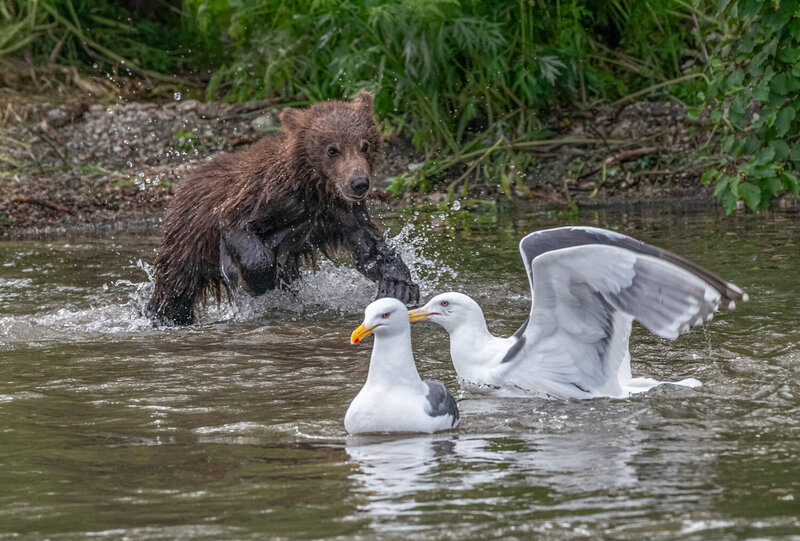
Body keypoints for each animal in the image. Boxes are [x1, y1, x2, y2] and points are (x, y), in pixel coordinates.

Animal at [145, 91, 419, 325]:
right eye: (332, 149)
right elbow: (240, 230)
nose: (359, 183)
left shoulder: (341, 212)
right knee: (175, 286)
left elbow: (369, 249)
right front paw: (255, 280)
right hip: (188, 239)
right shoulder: (267, 198)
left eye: (365, 145)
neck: (314, 187)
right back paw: (163, 315)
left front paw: (399, 285)